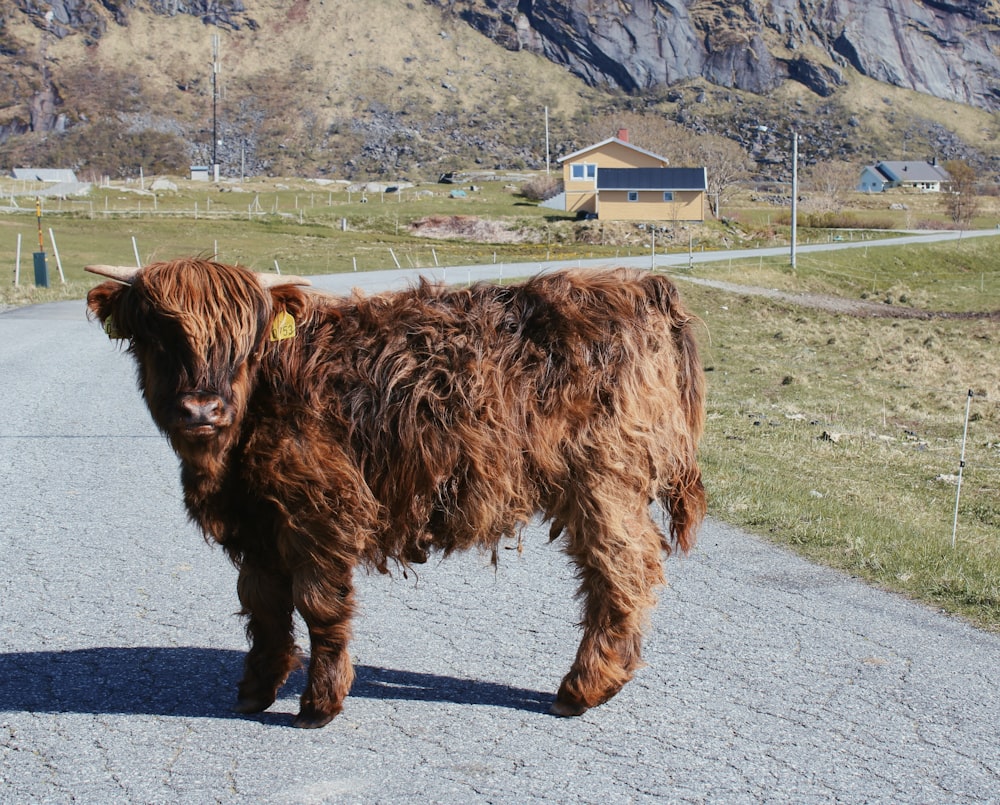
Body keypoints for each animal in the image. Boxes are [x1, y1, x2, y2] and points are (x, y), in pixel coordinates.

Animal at [90, 260, 708, 728]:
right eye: (157, 336)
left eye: (245, 343)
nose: (201, 410)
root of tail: (641, 287)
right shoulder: (258, 523)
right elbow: (263, 605)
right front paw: (256, 689)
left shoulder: (324, 509)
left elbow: (319, 606)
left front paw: (319, 704)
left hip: (604, 481)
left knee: (622, 571)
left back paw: (582, 688)